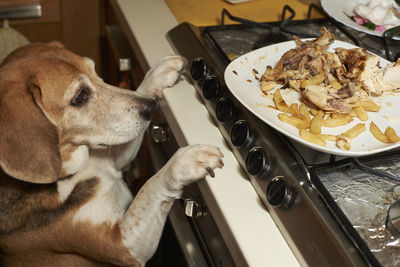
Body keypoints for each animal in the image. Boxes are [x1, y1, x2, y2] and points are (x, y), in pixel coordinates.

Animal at [0, 43, 223, 266]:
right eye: (79, 97)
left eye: (94, 71)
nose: (151, 107)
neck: (73, 175)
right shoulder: (122, 245)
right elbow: (150, 186)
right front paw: (183, 163)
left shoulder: (115, 160)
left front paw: (158, 74)